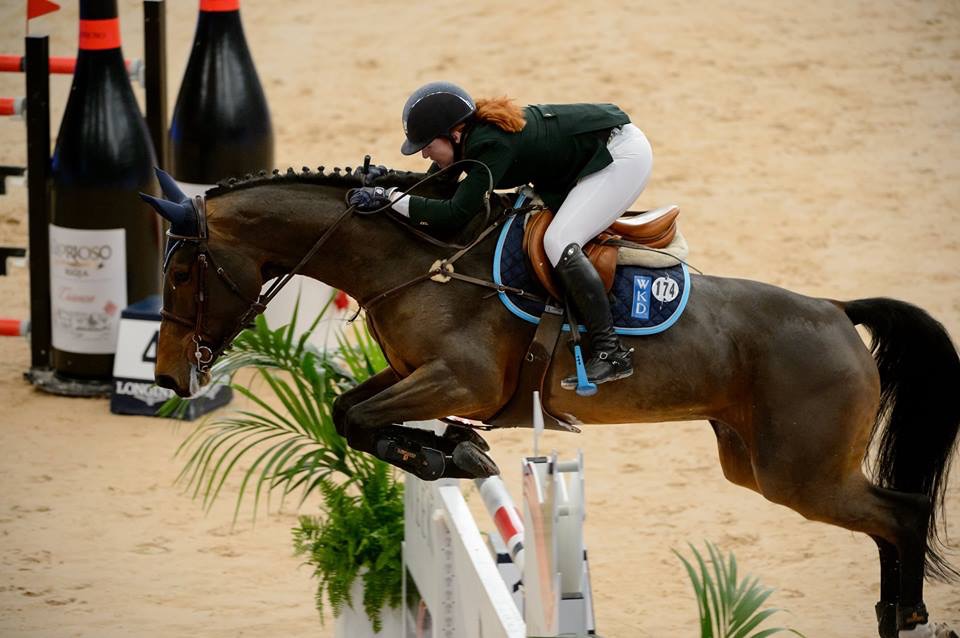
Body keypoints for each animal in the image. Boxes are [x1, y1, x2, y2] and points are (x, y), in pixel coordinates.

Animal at [142, 165, 959, 638]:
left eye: (182, 272)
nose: (171, 378)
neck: (413, 264)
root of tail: (835, 309)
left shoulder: (462, 380)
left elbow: (368, 418)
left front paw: (451, 453)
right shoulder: (411, 372)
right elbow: (350, 412)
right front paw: (450, 451)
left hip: (800, 475)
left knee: (900, 512)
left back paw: (908, 613)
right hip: (756, 465)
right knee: (889, 519)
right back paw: (895, 613)